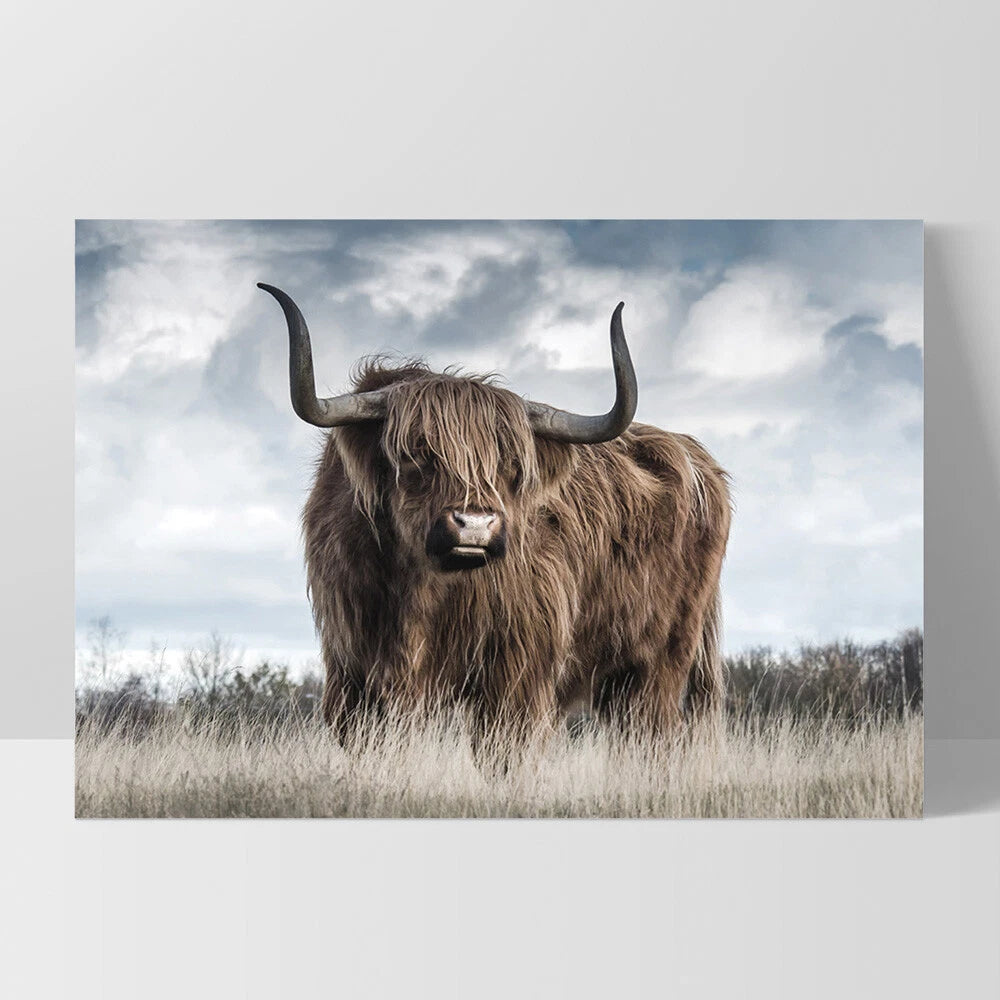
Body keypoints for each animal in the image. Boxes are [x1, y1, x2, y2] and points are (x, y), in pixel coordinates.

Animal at [259, 282, 731, 744]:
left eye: (512, 465)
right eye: (416, 455)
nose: (475, 525)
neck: (420, 592)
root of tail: (697, 457)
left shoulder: (517, 672)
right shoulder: (353, 671)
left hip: (659, 663)